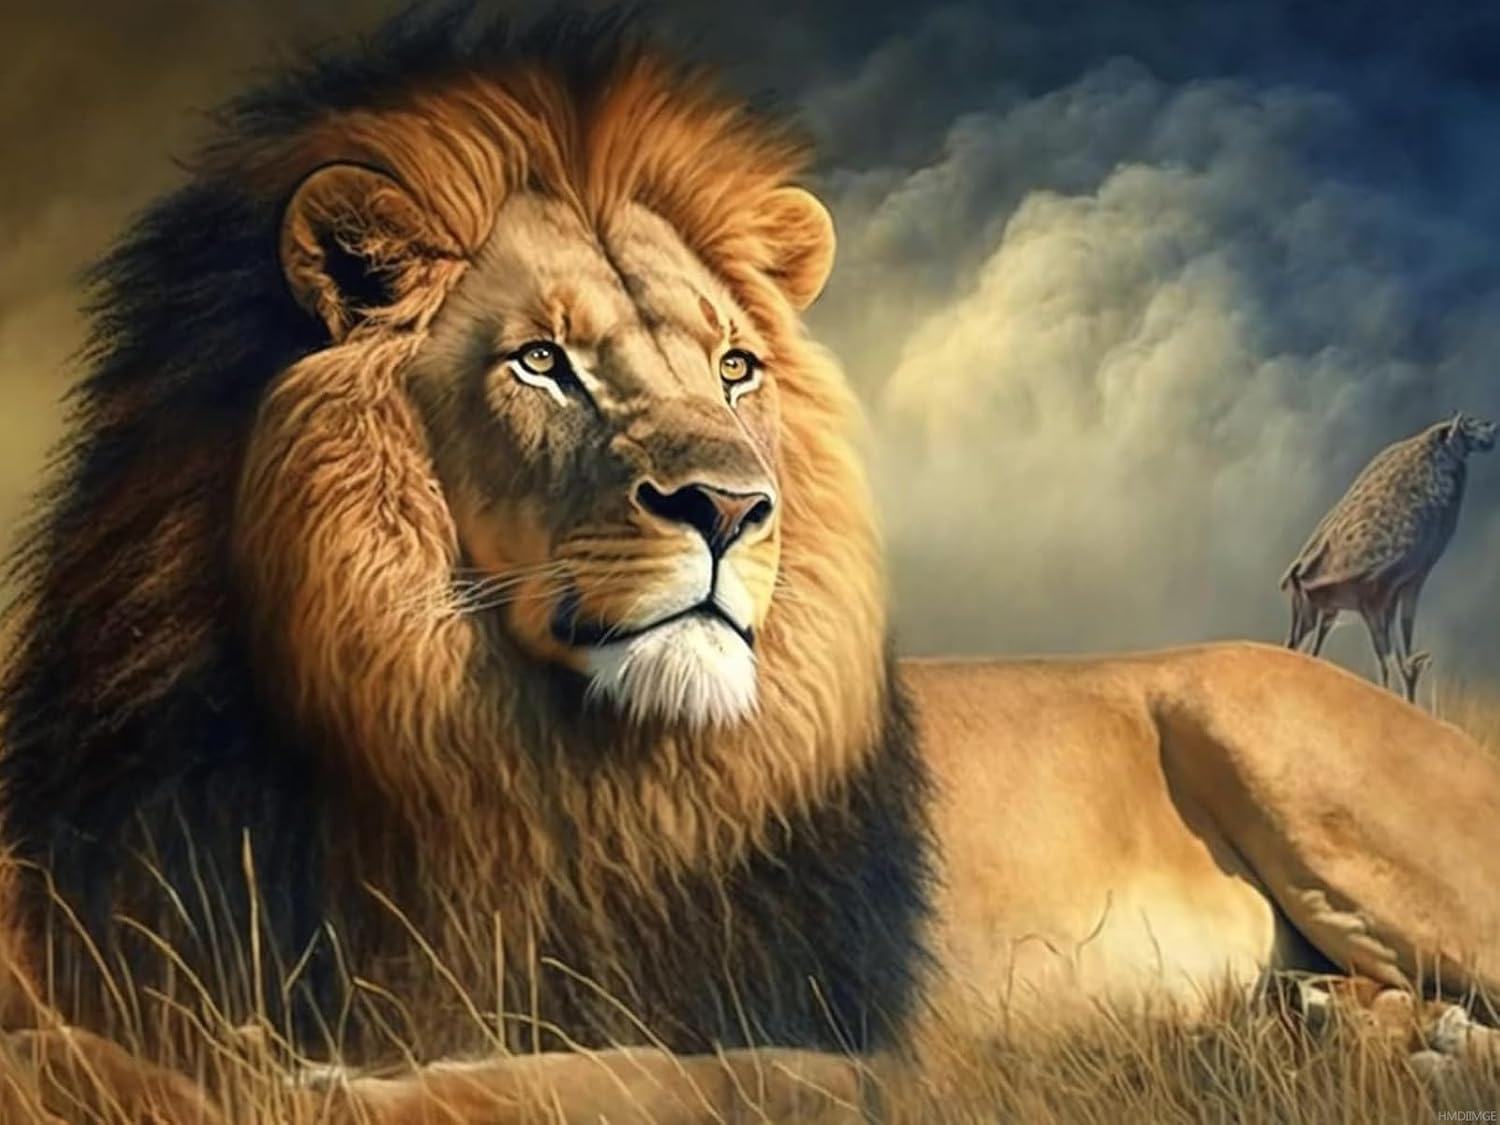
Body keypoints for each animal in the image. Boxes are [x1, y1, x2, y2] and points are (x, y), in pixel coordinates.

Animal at [1, 9, 1497, 1123]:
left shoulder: (860, 1053)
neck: (517, 762)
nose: (729, 506)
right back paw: (1341, 1030)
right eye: (541, 360)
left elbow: (595, 1080)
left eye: (734, 367)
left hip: (1292, 756)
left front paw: (284, 1083)